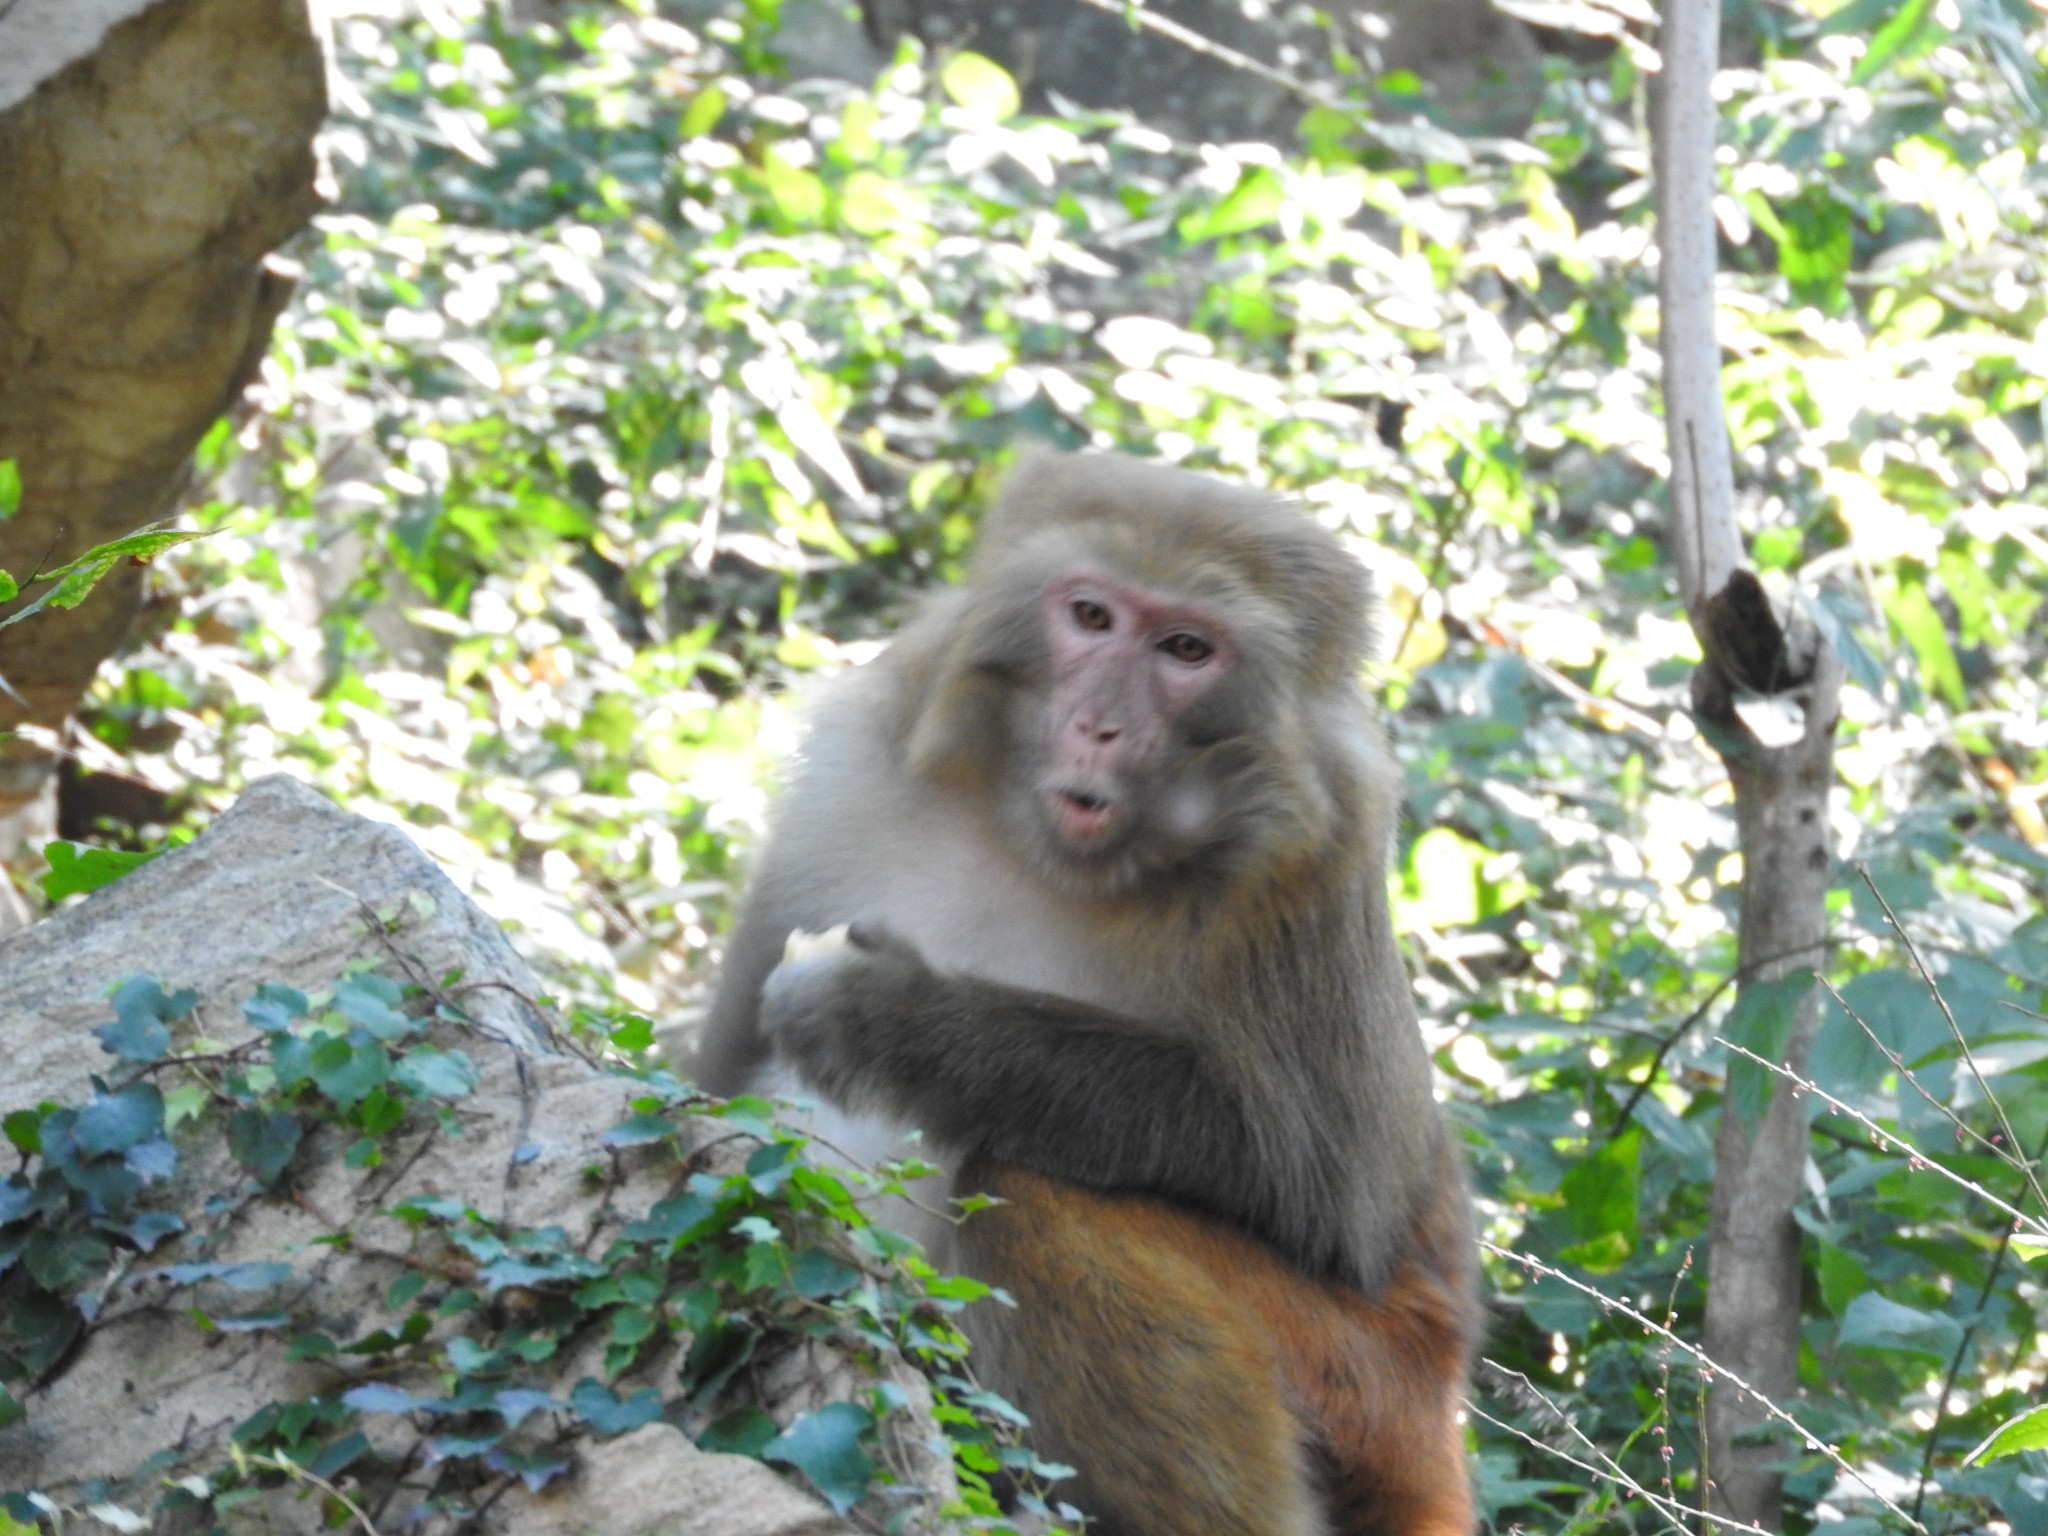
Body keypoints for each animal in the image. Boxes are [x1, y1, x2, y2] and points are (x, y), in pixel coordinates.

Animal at [696, 450, 1482, 1531]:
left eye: (1186, 649)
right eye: (1091, 617)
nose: (1097, 726)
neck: (1036, 850)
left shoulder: (1316, 853)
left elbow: (1322, 1189)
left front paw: (899, 1023)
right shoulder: (852, 759)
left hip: (1371, 1389)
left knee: (1035, 1193)